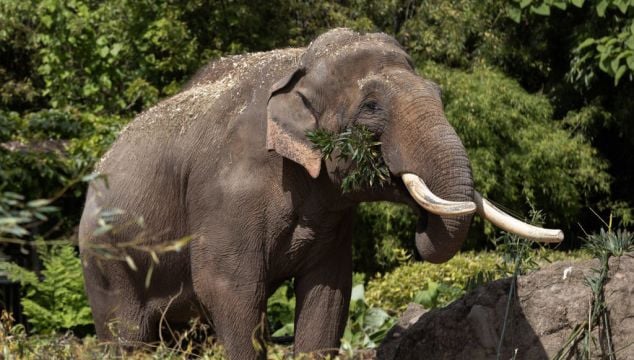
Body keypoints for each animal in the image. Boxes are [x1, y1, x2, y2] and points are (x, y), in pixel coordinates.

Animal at [78, 29, 556, 358]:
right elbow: (229, 290)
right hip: (104, 262)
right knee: (127, 335)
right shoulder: (225, 194)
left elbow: (329, 292)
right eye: (371, 107)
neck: (301, 65)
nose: (421, 225)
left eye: (438, 94)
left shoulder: (331, 209)